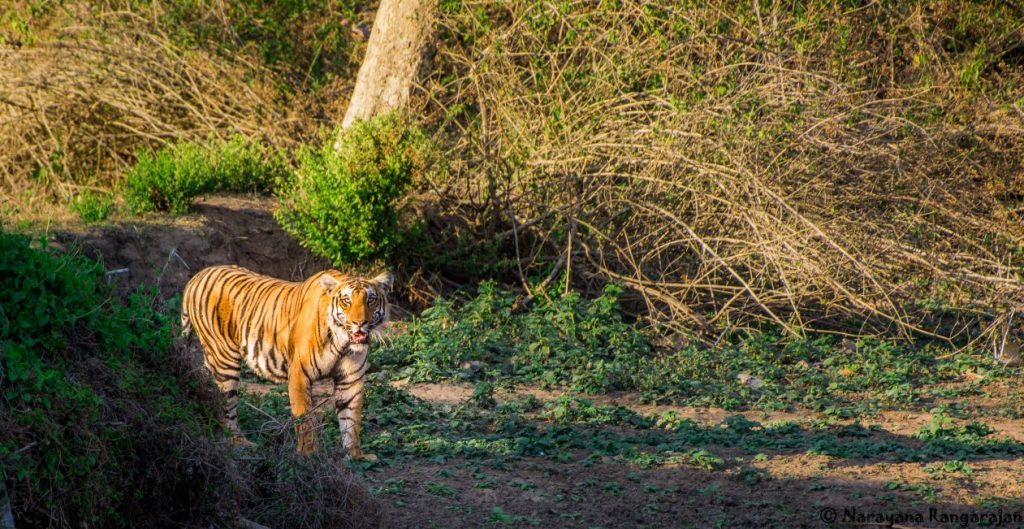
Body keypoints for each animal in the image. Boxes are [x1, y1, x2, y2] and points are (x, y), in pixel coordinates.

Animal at [180, 263, 391, 458]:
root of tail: (197, 276)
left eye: (370, 300)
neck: (344, 342)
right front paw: (308, 454)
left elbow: (351, 420)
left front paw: (356, 455)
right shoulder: (300, 374)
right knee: (226, 405)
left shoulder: (351, 379)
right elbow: (304, 419)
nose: (360, 323)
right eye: (347, 301)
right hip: (224, 360)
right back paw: (239, 442)